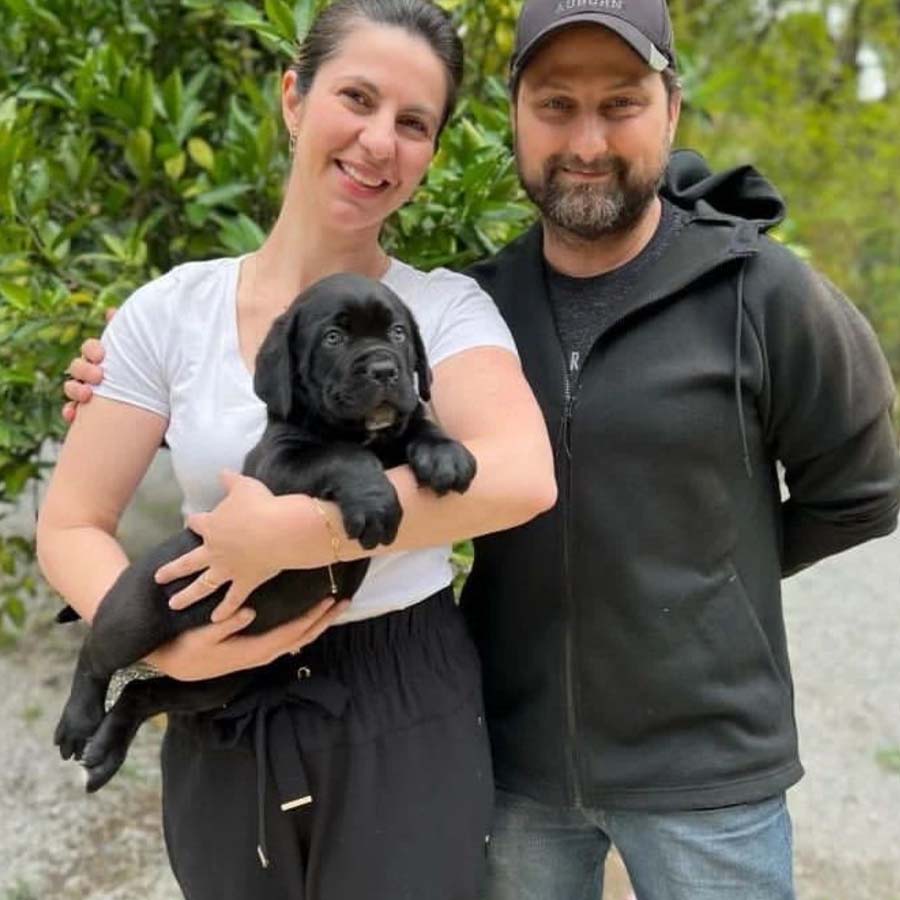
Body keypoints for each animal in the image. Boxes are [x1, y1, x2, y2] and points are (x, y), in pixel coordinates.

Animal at [54, 270, 478, 792]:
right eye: (333, 338)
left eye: (398, 333)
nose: (383, 369)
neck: (364, 432)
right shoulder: (278, 465)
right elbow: (341, 455)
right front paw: (374, 498)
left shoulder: (397, 425)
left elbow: (419, 421)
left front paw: (444, 453)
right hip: (138, 611)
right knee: (96, 655)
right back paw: (77, 723)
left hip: (221, 677)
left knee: (144, 693)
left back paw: (106, 754)